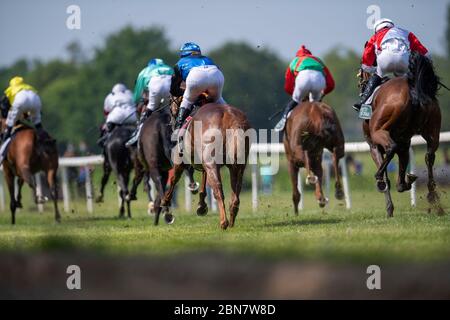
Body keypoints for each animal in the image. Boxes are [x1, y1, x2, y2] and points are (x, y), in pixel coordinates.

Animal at [156, 97, 251, 230]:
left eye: (171, 99)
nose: (172, 118)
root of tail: (229, 116)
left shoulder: (181, 159)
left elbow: (174, 178)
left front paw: (165, 201)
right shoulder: (204, 161)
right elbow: (204, 179)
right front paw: (201, 205)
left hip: (212, 162)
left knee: (218, 189)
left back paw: (224, 222)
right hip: (238, 165)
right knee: (236, 190)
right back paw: (232, 218)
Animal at [360, 52, 444, 218]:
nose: (360, 82)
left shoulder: (373, 145)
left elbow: (387, 177)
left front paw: (389, 207)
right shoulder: (404, 144)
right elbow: (401, 169)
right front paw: (406, 182)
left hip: (379, 131)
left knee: (391, 148)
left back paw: (379, 177)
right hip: (433, 132)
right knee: (429, 156)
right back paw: (433, 197)